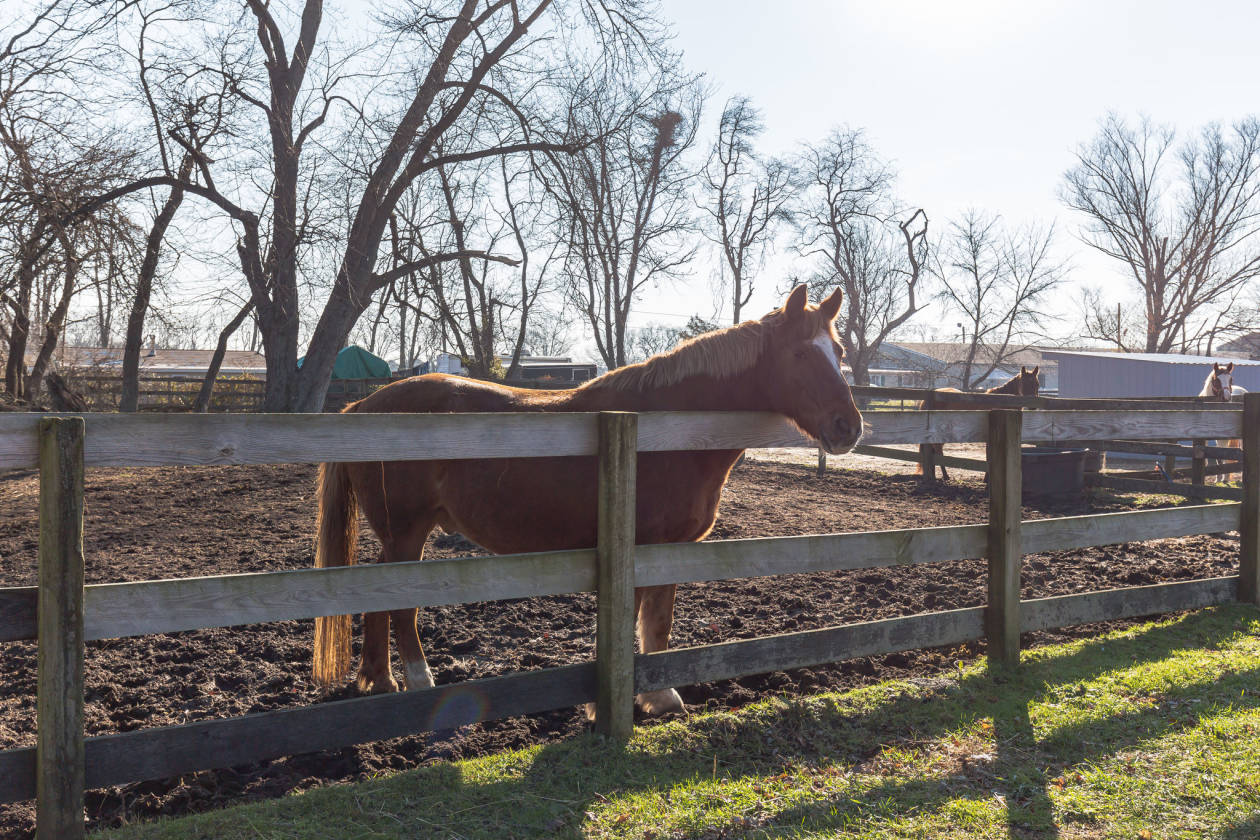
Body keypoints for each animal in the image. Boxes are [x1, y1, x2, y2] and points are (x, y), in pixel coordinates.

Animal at [312, 285, 864, 717]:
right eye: (801, 354)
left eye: (838, 352)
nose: (848, 427)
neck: (668, 429)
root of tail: (363, 405)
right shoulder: (638, 548)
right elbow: (634, 623)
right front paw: (611, 705)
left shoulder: (672, 549)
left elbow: (658, 623)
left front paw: (661, 698)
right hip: (405, 531)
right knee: (399, 608)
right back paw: (419, 683)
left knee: (378, 601)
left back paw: (380, 681)